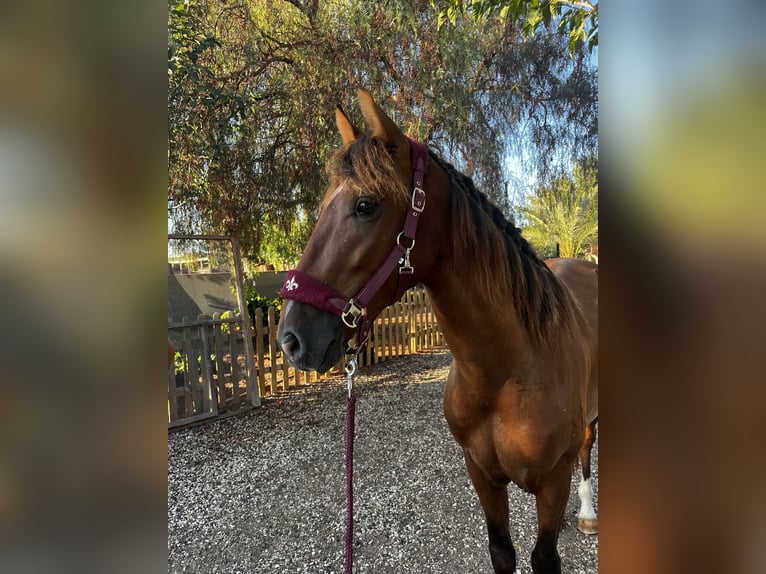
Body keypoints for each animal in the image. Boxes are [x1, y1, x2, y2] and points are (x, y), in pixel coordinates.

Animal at [276, 90, 600, 574]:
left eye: (365, 205)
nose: (292, 338)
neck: (508, 373)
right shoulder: (482, 474)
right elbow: (502, 551)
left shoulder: (553, 478)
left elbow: (545, 556)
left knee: (587, 449)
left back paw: (587, 513)